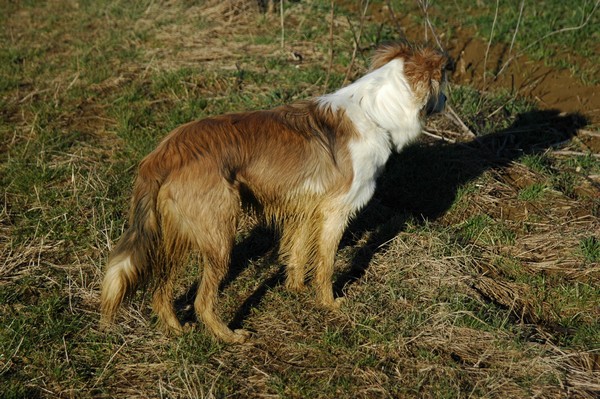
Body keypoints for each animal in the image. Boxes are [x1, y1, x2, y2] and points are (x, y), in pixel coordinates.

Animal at [99, 43, 446, 344]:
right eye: (442, 83)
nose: (444, 101)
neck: (374, 112)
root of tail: (166, 151)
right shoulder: (335, 211)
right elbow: (326, 263)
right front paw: (329, 304)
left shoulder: (307, 207)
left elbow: (298, 253)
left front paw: (296, 290)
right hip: (219, 233)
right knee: (202, 301)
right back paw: (228, 337)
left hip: (177, 233)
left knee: (161, 288)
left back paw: (176, 330)